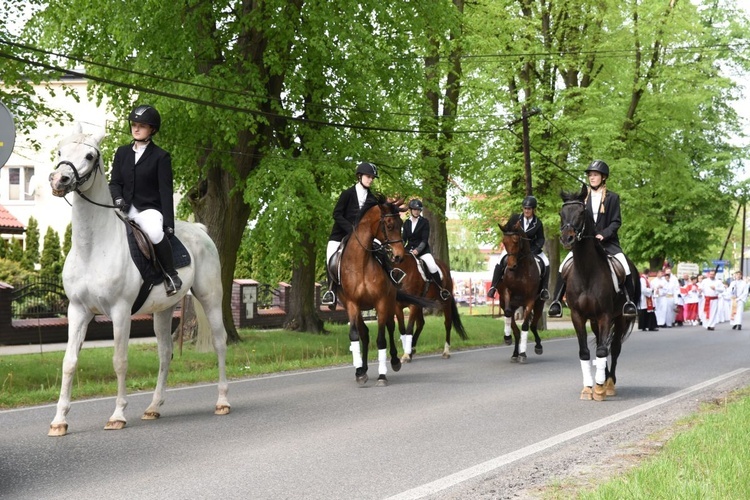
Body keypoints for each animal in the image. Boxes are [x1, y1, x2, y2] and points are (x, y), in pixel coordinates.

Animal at [47, 125, 229, 438]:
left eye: (90, 155)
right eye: (60, 150)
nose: (60, 180)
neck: (92, 247)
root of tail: (200, 230)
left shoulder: (120, 312)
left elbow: (120, 361)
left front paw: (118, 415)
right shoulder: (77, 311)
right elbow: (69, 363)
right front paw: (59, 421)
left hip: (210, 299)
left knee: (219, 342)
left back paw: (222, 401)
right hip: (164, 310)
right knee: (165, 354)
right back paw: (153, 407)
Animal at [500, 215, 548, 364]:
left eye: (516, 241)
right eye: (504, 242)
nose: (511, 266)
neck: (520, 270)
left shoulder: (530, 300)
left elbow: (526, 326)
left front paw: (523, 353)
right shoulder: (507, 294)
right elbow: (508, 314)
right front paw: (507, 337)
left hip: (539, 304)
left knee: (532, 325)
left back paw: (536, 347)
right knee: (515, 330)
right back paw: (514, 352)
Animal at [560, 186, 640, 400]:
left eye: (581, 213)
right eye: (561, 213)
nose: (567, 239)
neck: (586, 271)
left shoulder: (606, 315)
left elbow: (604, 350)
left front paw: (599, 388)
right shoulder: (578, 315)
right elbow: (585, 352)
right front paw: (589, 387)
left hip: (619, 318)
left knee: (614, 347)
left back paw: (609, 383)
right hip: (595, 320)